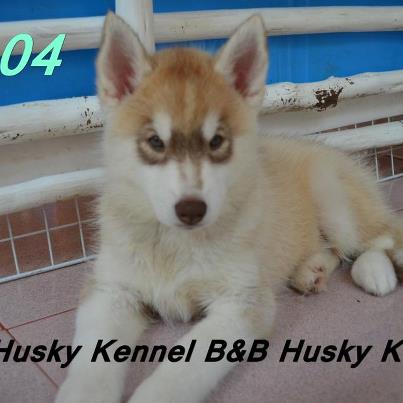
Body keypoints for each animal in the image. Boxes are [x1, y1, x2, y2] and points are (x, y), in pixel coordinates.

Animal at [56, 12, 403, 403]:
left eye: (217, 141)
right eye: (156, 142)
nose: (191, 210)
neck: (174, 246)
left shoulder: (243, 303)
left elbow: (181, 370)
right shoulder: (111, 292)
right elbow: (90, 363)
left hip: (336, 204)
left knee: (383, 237)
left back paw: (375, 272)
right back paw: (310, 271)